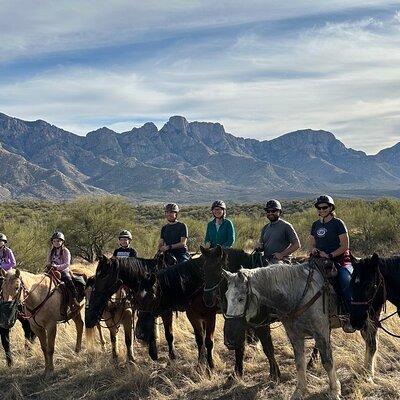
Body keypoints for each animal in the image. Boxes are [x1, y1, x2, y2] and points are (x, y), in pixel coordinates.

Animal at [202, 244, 280, 382]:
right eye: (204, 270)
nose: (207, 299)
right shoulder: (238, 323)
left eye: (218, 270)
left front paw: (274, 374)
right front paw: (237, 373)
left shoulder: (262, 325)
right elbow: (239, 347)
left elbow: (268, 348)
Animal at [222, 256, 376, 400]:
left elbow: (327, 362)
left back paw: (368, 374)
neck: (296, 294)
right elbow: (299, 362)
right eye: (226, 296)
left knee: (372, 345)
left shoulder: (321, 333)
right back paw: (365, 371)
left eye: (241, 299)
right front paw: (299, 391)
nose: (229, 339)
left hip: (370, 321)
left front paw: (334, 391)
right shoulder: (294, 335)